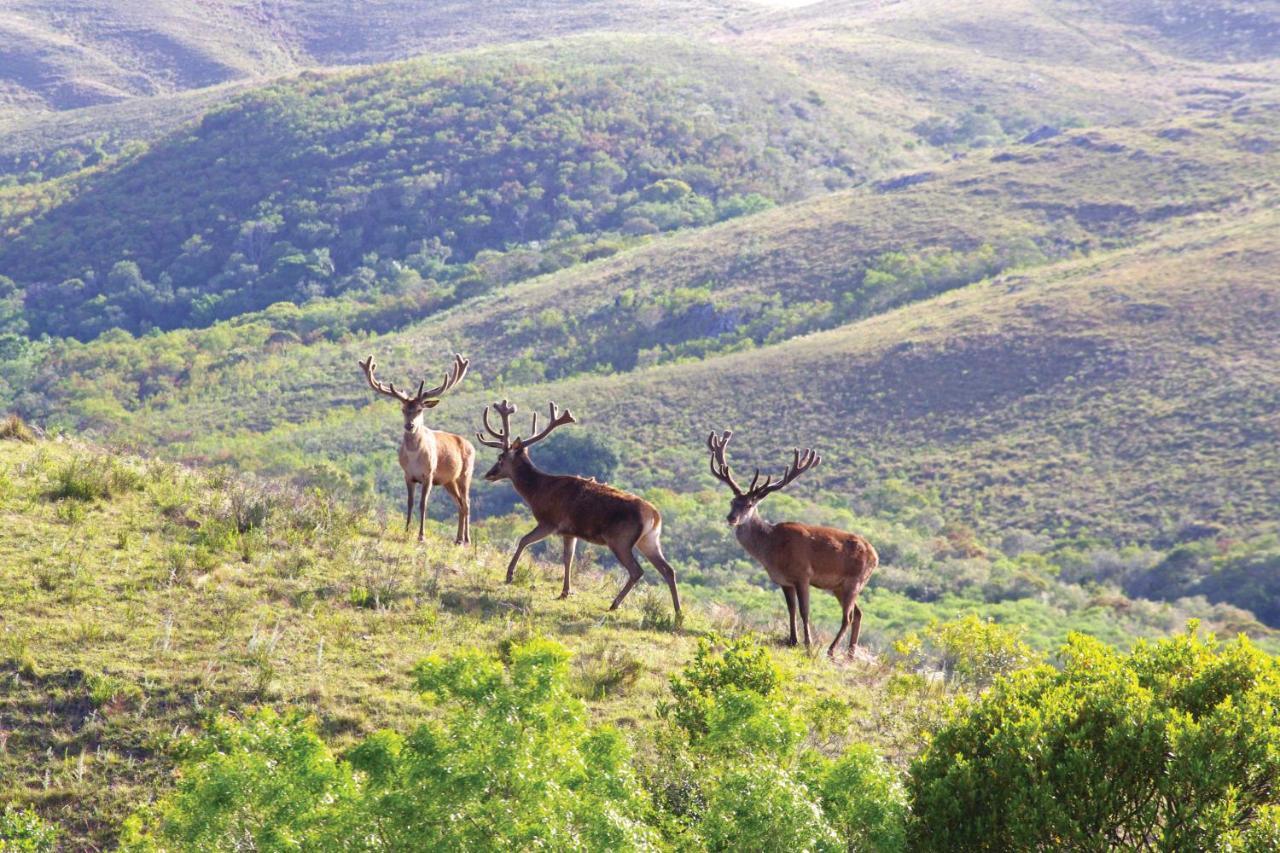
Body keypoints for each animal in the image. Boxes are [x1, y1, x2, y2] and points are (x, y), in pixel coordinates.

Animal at [360, 353, 476, 545]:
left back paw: (466, 539)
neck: (415, 457)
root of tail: (471, 445)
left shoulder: (428, 474)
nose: (410, 425)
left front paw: (421, 535)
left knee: (467, 502)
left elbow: (423, 504)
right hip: (448, 481)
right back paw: (458, 539)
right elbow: (410, 502)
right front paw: (406, 531)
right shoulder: (408, 475)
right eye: (403, 409)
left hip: (465, 473)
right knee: (459, 504)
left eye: (420, 409)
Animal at [476, 399, 680, 617]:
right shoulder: (569, 532)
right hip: (649, 540)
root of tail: (655, 516)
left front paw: (509, 575)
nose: (488, 474)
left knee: (637, 570)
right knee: (668, 570)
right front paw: (565, 592)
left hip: (620, 539)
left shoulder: (550, 522)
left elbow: (524, 541)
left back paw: (614, 604)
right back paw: (678, 613)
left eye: (500, 457)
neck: (537, 492)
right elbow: (568, 558)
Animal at [706, 427, 875, 653]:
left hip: (854, 581)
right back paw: (850, 653)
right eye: (732, 501)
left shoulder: (803, 574)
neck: (772, 550)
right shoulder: (784, 580)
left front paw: (808, 643)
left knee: (847, 617)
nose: (731, 518)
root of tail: (875, 556)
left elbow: (804, 610)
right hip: (840, 587)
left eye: (749, 504)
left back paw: (831, 649)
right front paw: (792, 640)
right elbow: (791, 610)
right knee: (858, 614)